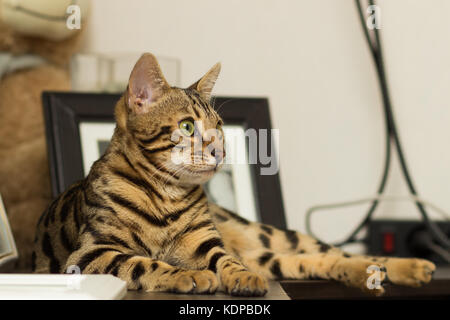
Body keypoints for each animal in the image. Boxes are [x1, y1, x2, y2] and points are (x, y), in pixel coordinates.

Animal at [34, 53, 436, 298]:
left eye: (219, 126)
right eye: (187, 126)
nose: (221, 152)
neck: (166, 195)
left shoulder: (206, 243)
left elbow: (224, 260)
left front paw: (238, 275)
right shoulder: (89, 254)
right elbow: (140, 262)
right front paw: (186, 275)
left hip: (269, 235)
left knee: (336, 253)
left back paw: (408, 267)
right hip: (271, 254)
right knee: (322, 263)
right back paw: (372, 274)